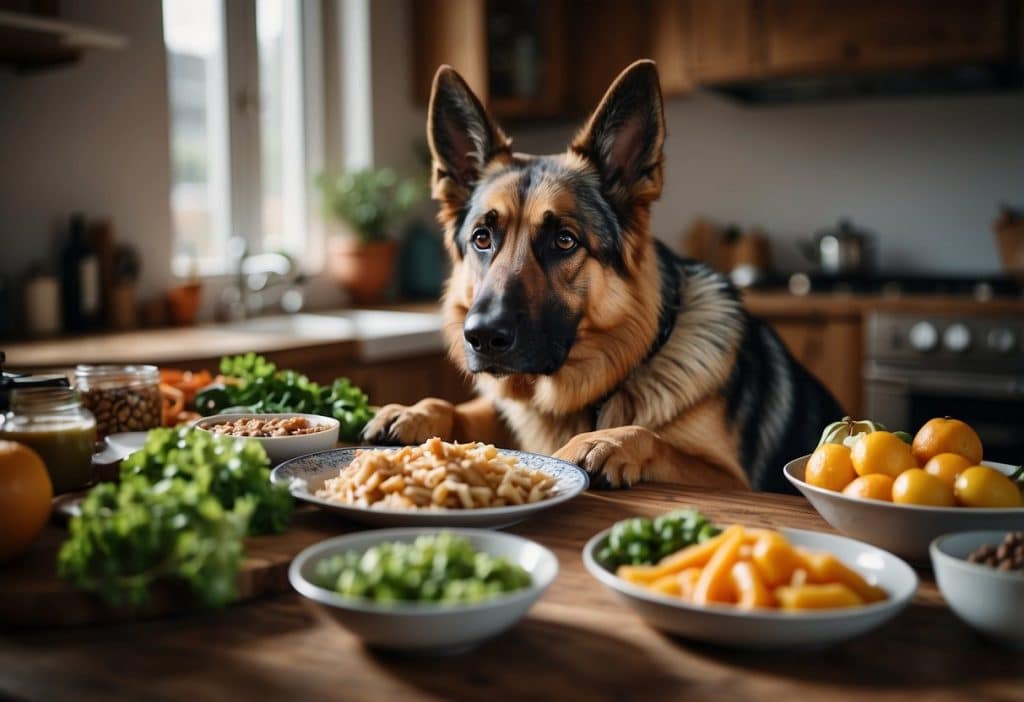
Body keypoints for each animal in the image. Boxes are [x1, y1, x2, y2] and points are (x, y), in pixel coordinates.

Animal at [360, 60, 839, 493]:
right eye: (482, 237)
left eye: (564, 241)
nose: (482, 337)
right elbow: (470, 407)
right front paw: (418, 411)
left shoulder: (733, 479)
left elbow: (653, 437)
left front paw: (605, 441)